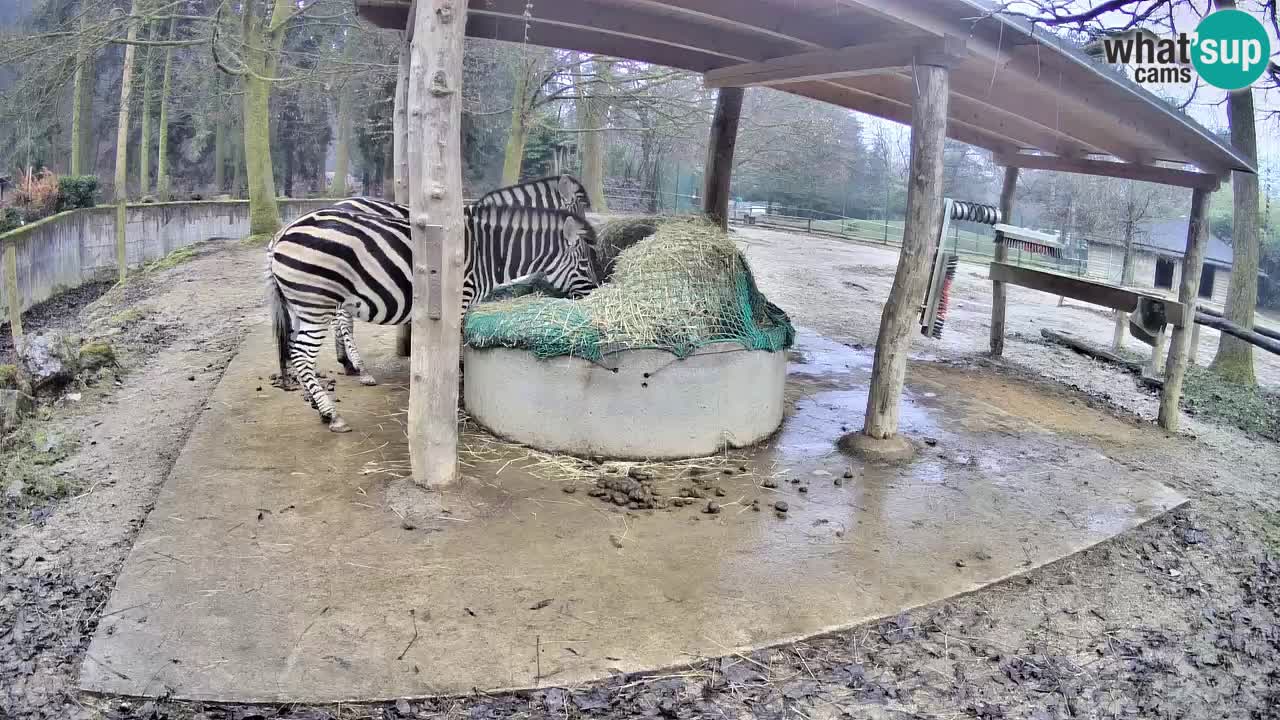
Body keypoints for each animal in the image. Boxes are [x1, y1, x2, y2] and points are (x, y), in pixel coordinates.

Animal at [266, 204, 602, 432]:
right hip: (316, 302)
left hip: (301, 305)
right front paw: (455, 383)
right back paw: (330, 414)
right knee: (302, 353)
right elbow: (456, 345)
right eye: (585, 264)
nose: (597, 294)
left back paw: (316, 400)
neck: (487, 254)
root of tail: (282, 233)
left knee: (296, 351)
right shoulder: (460, 299)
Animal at [323, 174, 592, 383]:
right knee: (343, 320)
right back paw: (360, 367)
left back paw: (346, 363)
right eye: (580, 210)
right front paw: (459, 368)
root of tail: (341, 202)